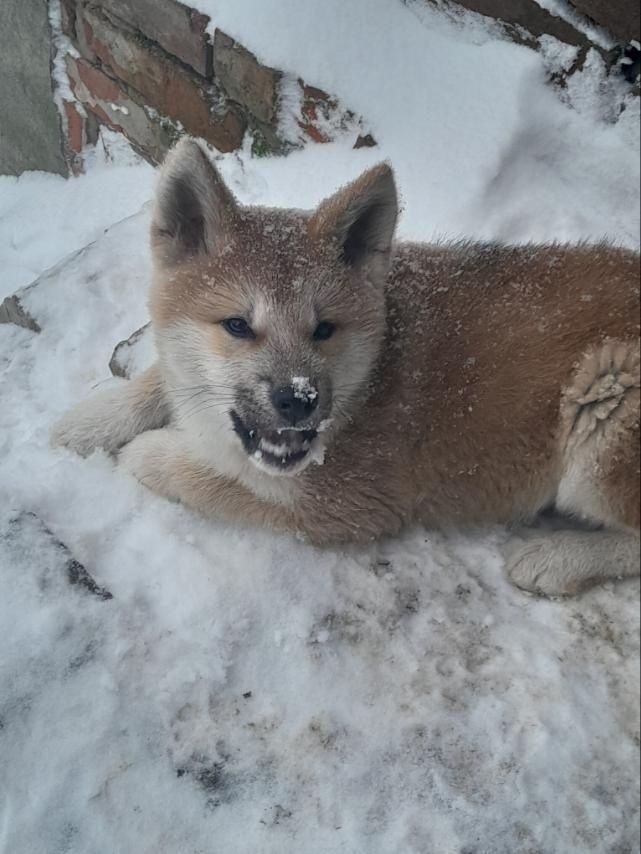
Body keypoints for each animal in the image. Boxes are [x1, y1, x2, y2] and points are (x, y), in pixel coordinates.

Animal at [51, 139, 640, 596]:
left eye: (324, 329)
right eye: (237, 325)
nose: (299, 400)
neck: (373, 374)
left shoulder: (350, 504)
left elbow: (211, 478)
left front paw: (150, 452)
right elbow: (161, 379)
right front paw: (91, 422)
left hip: (607, 401)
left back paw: (557, 559)